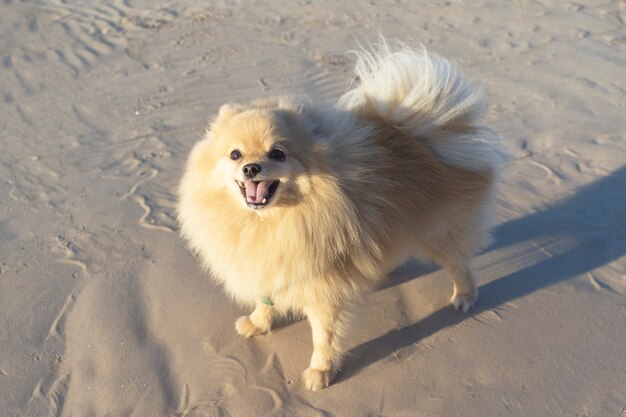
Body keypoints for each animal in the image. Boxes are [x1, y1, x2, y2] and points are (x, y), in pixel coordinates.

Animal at [176, 40, 502, 388]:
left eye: (277, 153)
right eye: (235, 154)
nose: (251, 168)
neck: (269, 221)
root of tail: (427, 131)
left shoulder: (323, 287)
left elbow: (325, 335)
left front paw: (321, 371)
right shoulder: (271, 264)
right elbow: (265, 299)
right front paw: (258, 323)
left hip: (438, 231)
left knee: (459, 264)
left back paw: (465, 296)